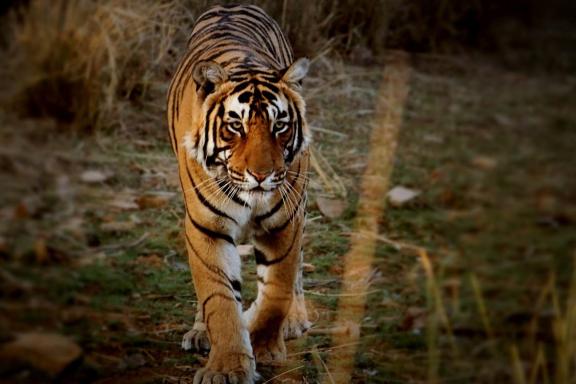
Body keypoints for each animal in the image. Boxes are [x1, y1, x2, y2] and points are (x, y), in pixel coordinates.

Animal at [165, 3, 310, 384]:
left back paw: (294, 321)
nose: (261, 175)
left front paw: (264, 345)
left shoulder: (286, 223)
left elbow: (277, 291)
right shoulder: (205, 228)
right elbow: (219, 298)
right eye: (235, 126)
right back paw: (201, 332)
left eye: (280, 126)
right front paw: (227, 367)